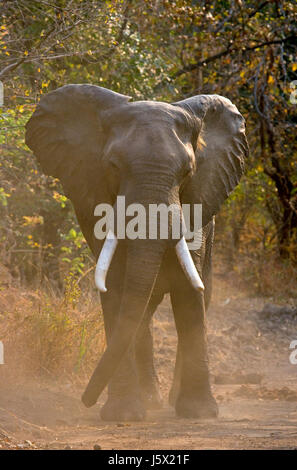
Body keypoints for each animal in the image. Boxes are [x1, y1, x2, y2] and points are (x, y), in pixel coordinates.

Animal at [24, 85, 247, 422]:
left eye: (188, 172)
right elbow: (116, 286)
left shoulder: (197, 204)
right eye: (114, 166)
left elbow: (188, 292)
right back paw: (151, 402)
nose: (85, 400)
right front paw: (123, 415)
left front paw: (199, 414)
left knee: (198, 295)